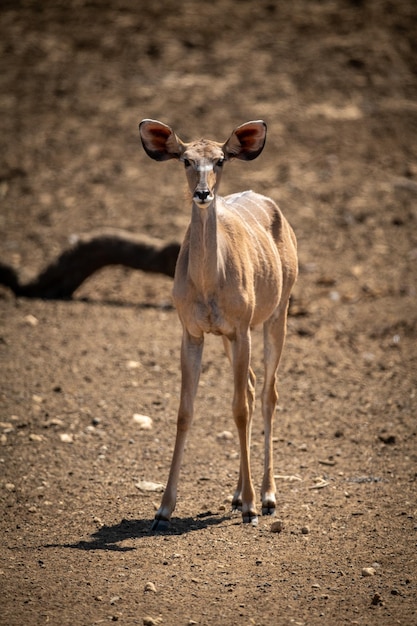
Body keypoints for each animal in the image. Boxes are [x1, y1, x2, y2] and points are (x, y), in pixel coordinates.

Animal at [138, 117, 298, 528]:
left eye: (221, 159)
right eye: (186, 159)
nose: (203, 193)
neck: (210, 282)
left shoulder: (241, 330)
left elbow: (239, 409)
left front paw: (253, 507)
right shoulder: (194, 333)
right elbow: (184, 412)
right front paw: (163, 510)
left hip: (277, 315)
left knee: (268, 393)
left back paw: (267, 496)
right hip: (229, 338)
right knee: (254, 388)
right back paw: (237, 493)